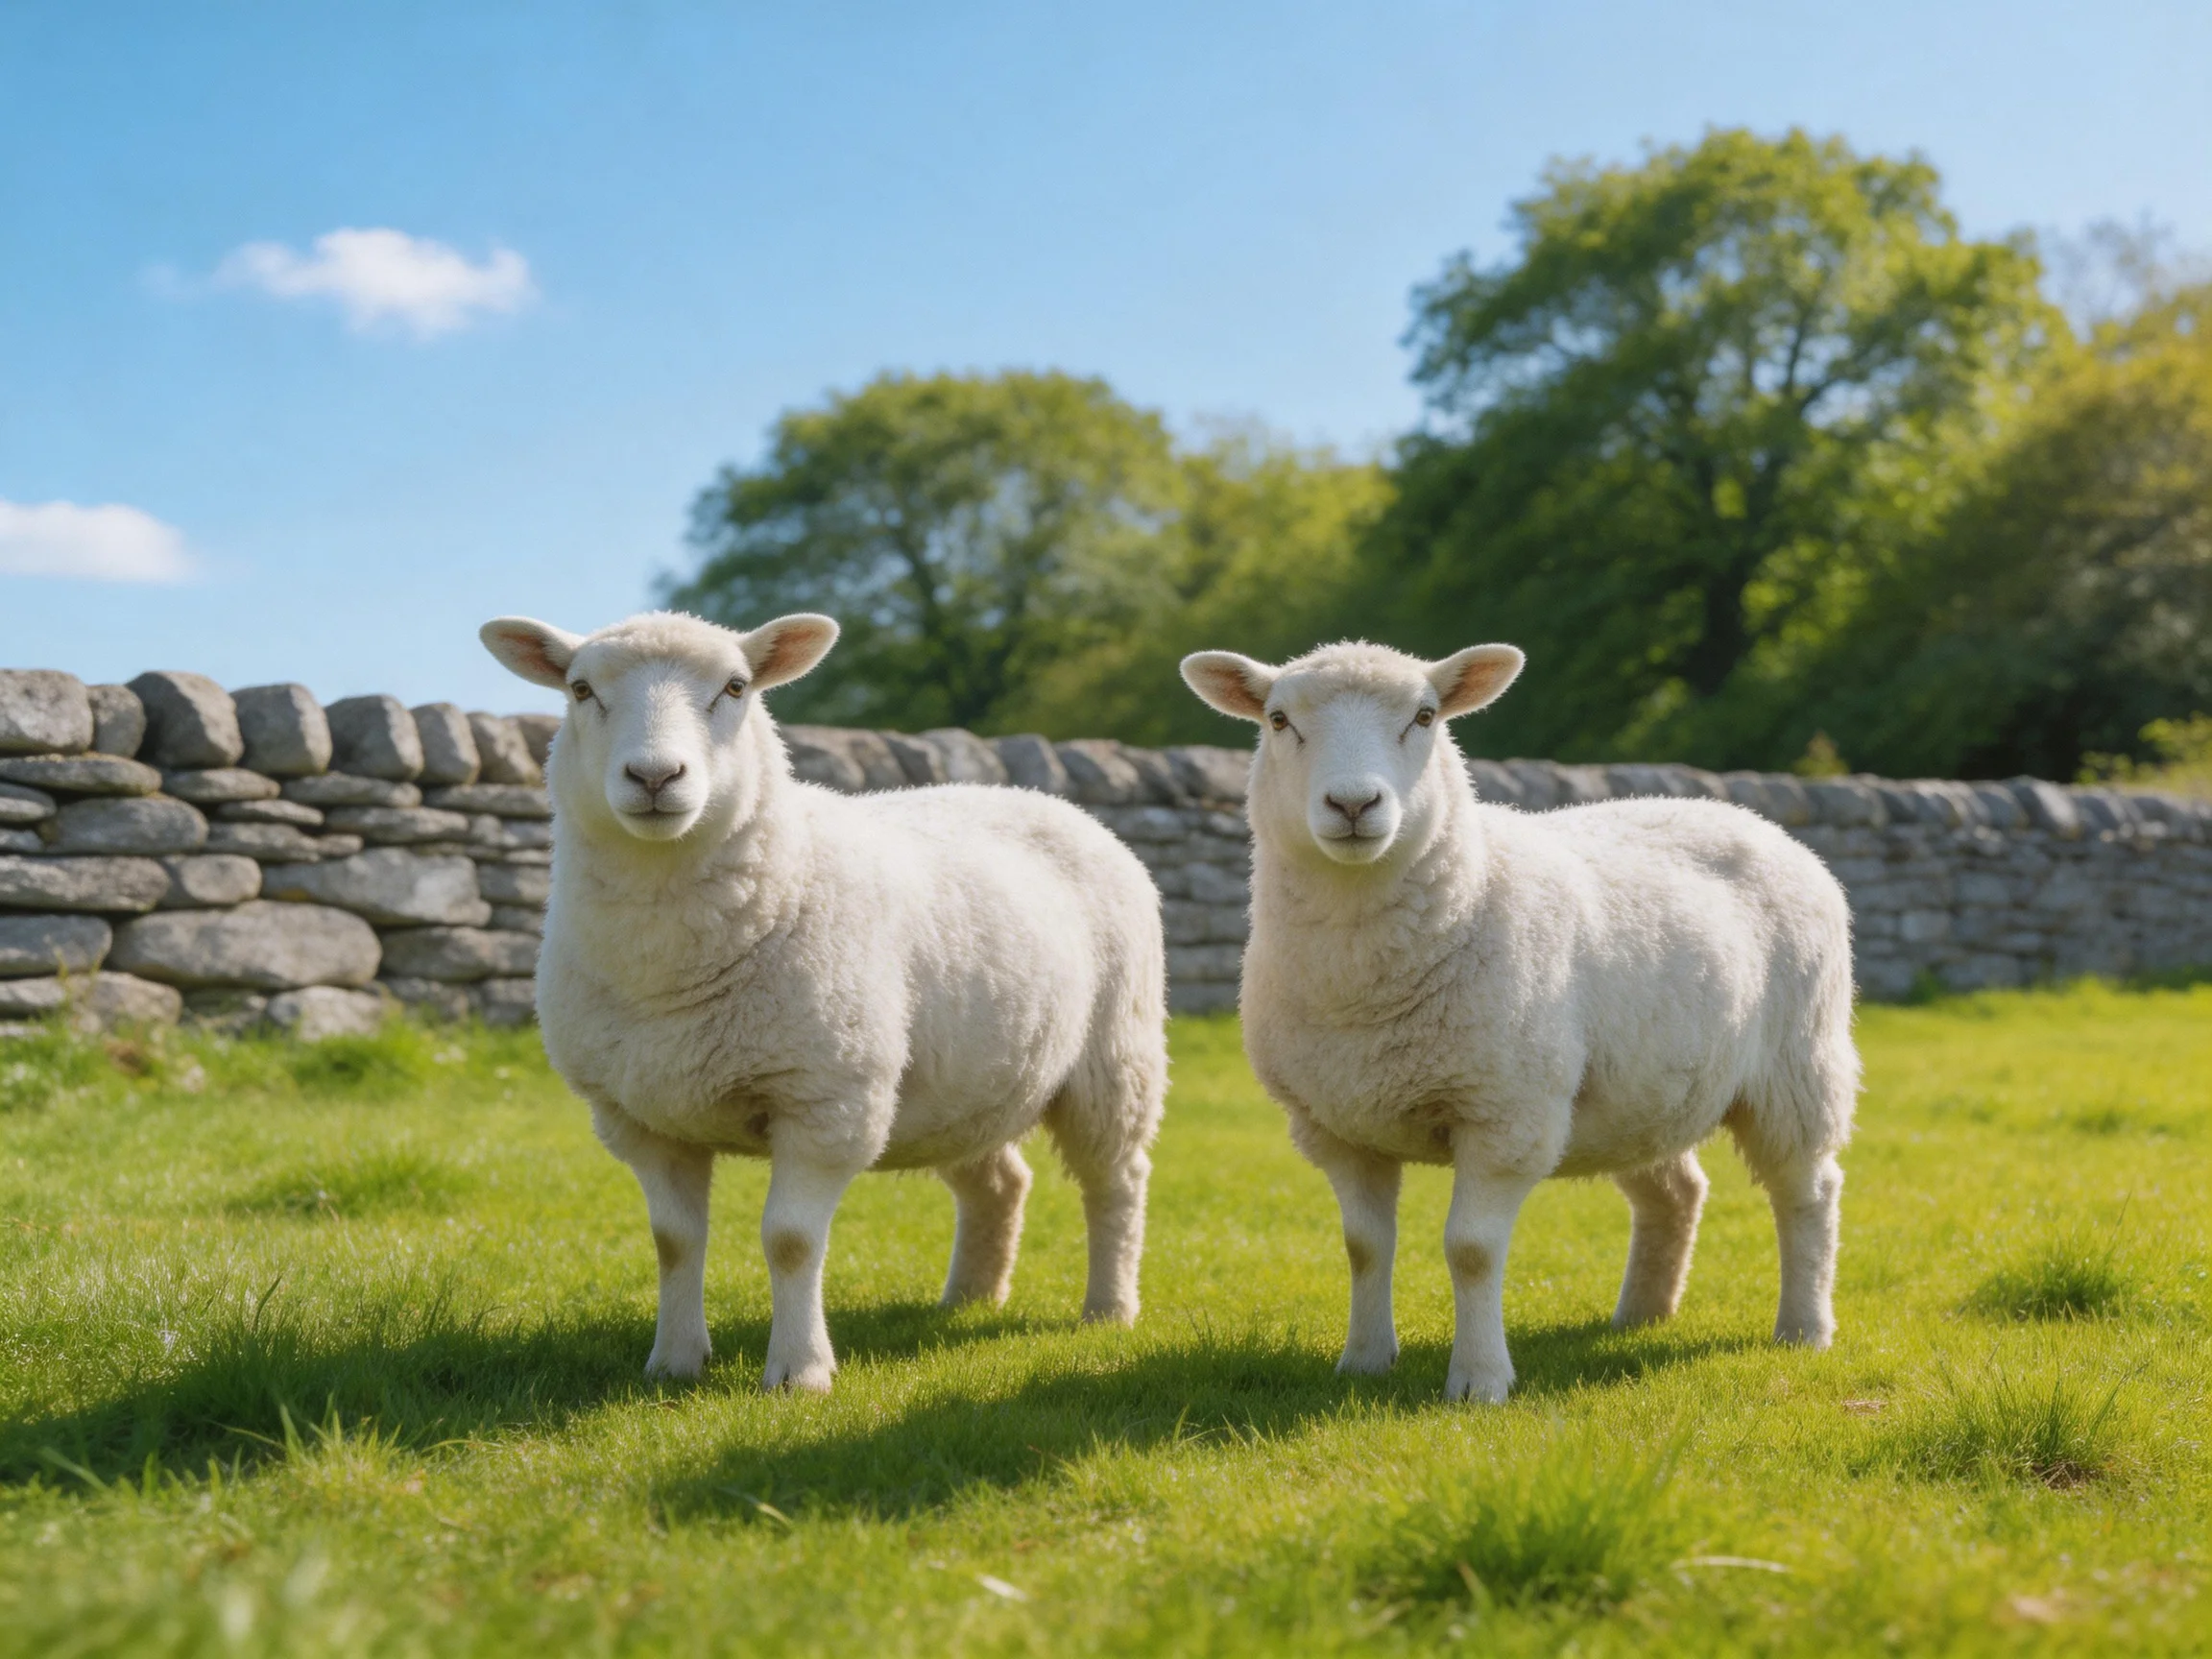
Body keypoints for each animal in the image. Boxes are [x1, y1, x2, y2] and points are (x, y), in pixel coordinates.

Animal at [481, 609, 1166, 1391]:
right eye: (580, 688)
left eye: (736, 687)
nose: (655, 776)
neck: (668, 966)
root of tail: (1044, 799)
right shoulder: (640, 1116)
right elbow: (674, 1241)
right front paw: (674, 1363)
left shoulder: (826, 1099)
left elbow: (790, 1241)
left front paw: (798, 1372)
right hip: (964, 1082)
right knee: (999, 1182)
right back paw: (968, 1298)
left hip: (1115, 1059)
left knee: (1117, 1182)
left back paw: (1108, 1309)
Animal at [1180, 639, 1857, 1403]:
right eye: (1277, 719)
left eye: (1425, 716)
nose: (1353, 803)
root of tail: (1750, 818)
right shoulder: (1337, 1125)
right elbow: (1364, 1248)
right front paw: (1363, 1361)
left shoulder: (1505, 1112)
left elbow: (1471, 1250)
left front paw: (1479, 1380)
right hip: (1639, 1092)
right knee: (1676, 1191)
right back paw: (1641, 1314)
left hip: (1797, 1067)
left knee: (1808, 1192)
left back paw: (1803, 1327)